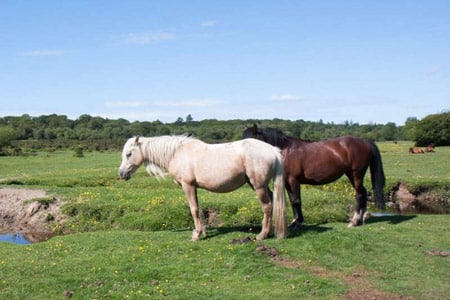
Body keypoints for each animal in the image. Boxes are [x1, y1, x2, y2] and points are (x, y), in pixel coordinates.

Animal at [118, 136, 286, 241]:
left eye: (129, 154)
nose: (121, 173)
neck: (177, 154)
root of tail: (273, 150)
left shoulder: (188, 186)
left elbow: (193, 209)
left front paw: (196, 235)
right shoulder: (194, 187)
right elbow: (198, 209)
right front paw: (202, 231)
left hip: (258, 186)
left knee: (267, 206)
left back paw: (261, 235)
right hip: (258, 185)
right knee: (272, 204)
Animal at [244, 124, 384, 227]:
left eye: (252, 141)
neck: (285, 151)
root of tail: (364, 141)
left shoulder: (293, 180)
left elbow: (296, 201)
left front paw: (296, 223)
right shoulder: (287, 182)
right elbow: (293, 200)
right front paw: (296, 220)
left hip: (355, 174)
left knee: (359, 194)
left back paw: (354, 221)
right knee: (363, 193)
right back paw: (361, 219)